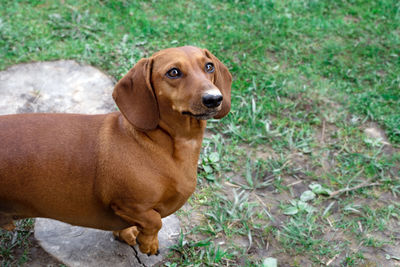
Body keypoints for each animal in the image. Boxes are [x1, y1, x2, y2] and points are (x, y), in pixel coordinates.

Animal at [0, 46, 231, 255]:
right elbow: (155, 220)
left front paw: (127, 233)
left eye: (209, 66)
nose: (214, 99)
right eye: (173, 72)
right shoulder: (129, 205)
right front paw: (148, 243)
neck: (159, 145)